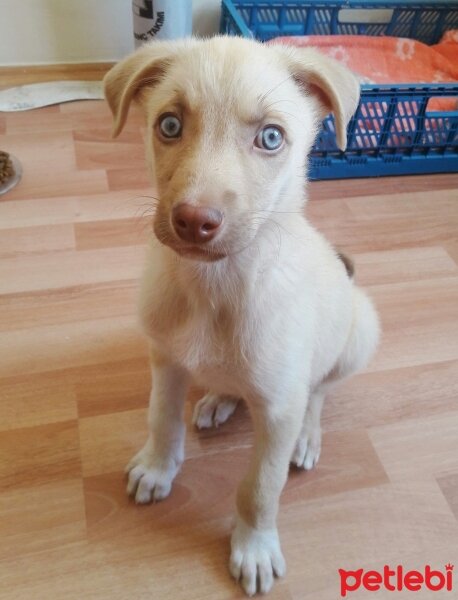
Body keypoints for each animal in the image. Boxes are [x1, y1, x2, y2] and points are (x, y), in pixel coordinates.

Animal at [104, 37, 380, 596]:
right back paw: (218, 399)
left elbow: (259, 487)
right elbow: (161, 419)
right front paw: (158, 468)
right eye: (169, 125)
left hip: (359, 330)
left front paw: (254, 547)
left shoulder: (276, 411)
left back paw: (307, 436)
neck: (215, 286)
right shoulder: (166, 361)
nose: (194, 222)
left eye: (271, 137)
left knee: (318, 392)